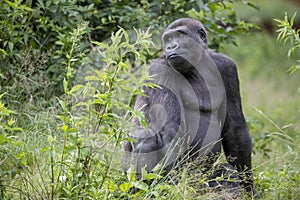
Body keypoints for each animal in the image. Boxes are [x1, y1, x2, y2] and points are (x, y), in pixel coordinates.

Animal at [123, 17, 254, 195]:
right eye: (168, 39)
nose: (170, 47)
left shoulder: (227, 67)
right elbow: (169, 130)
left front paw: (249, 187)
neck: (199, 65)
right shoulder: (161, 69)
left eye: (180, 35)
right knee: (147, 139)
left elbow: (235, 130)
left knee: (226, 172)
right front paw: (175, 186)